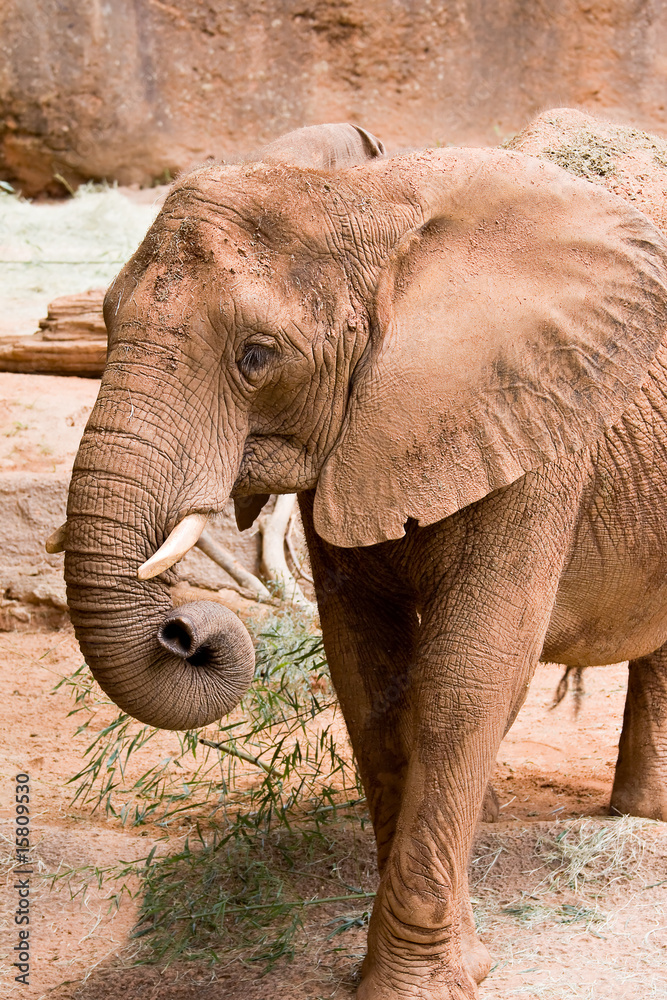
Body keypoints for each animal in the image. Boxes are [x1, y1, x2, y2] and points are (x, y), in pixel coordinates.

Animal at [59, 126, 667, 999]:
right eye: (104, 321)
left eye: (256, 357)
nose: (182, 632)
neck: (370, 204)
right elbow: (367, 676)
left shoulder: (538, 425)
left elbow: (467, 677)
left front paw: (417, 985)